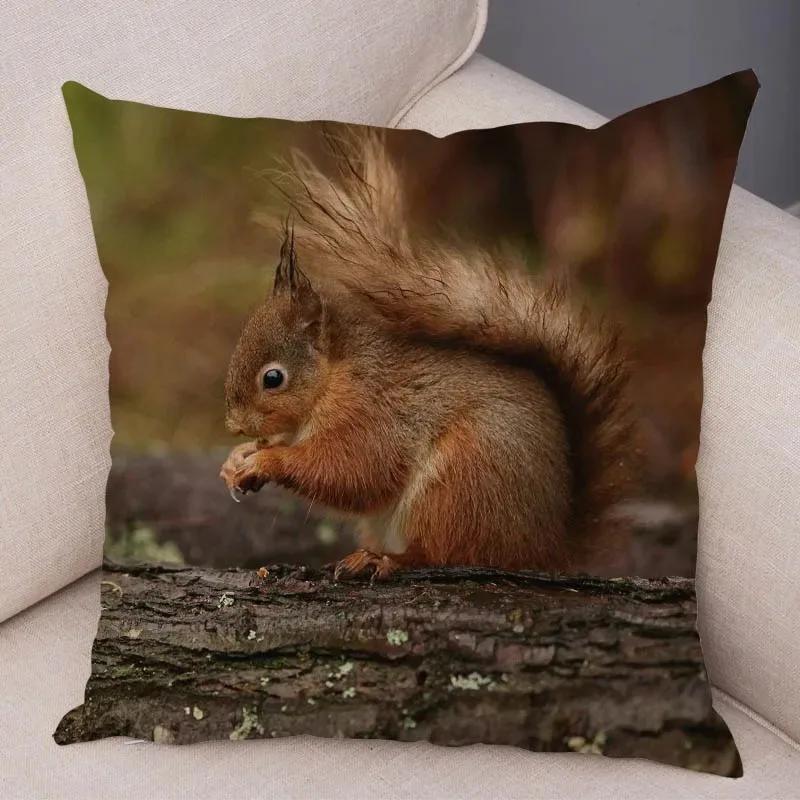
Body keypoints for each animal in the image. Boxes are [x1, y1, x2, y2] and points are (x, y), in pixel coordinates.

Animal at [220, 130, 632, 579]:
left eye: (273, 378)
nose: (234, 424)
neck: (334, 377)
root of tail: (547, 549)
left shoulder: (371, 412)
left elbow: (354, 470)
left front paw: (268, 461)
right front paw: (238, 459)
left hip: (461, 482)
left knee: (441, 551)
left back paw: (383, 559)